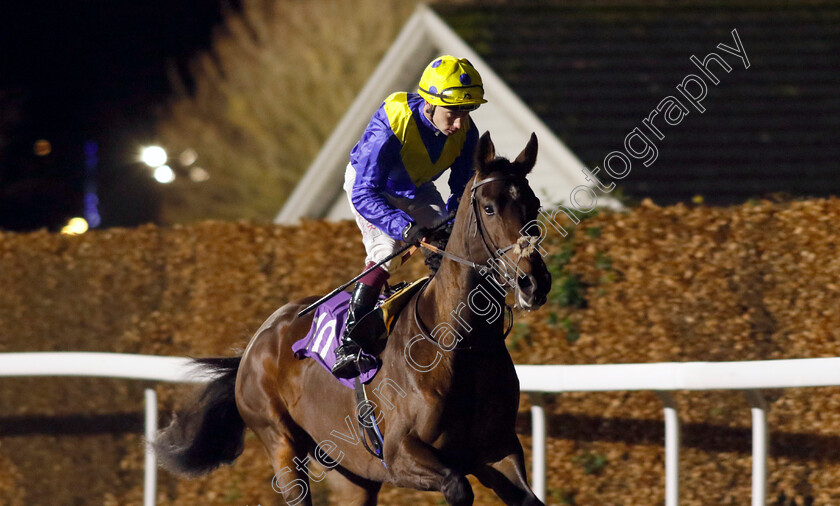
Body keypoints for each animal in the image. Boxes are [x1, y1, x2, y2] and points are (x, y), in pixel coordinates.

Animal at [154, 132, 552, 504]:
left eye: (534, 204)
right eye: (489, 207)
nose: (533, 281)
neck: (460, 344)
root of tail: (255, 343)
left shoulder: (498, 450)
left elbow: (526, 496)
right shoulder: (398, 454)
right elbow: (457, 486)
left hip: (350, 472)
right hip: (281, 447)